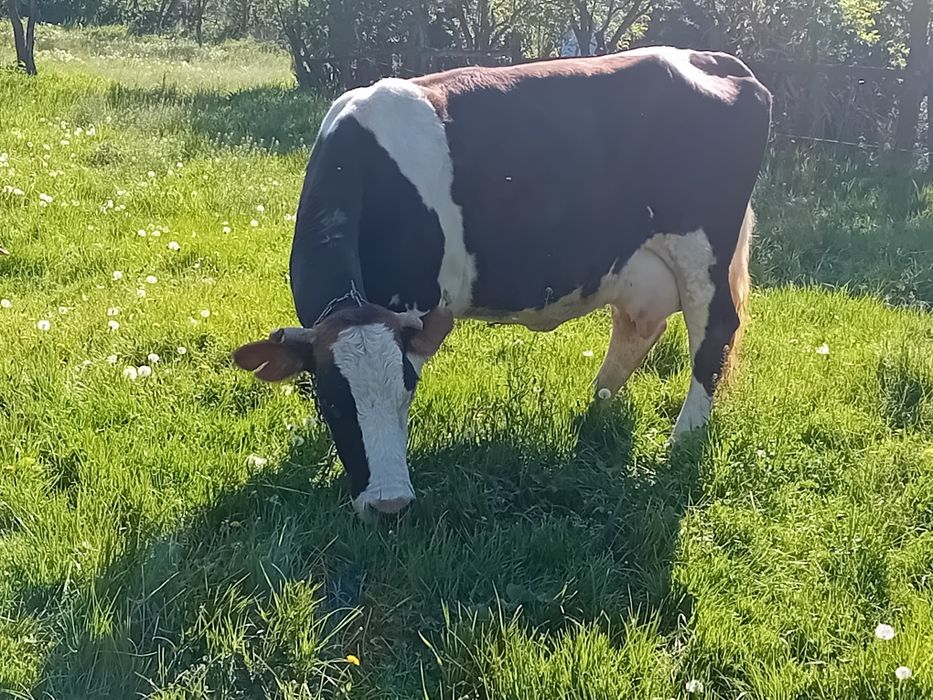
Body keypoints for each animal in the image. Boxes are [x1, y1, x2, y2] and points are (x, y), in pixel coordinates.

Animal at [232, 46, 772, 518]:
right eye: (332, 403)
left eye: (407, 391)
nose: (389, 504)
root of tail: (710, 57)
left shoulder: (419, 305)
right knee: (638, 328)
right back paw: (596, 409)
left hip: (702, 251)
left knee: (714, 331)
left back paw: (682, 439)